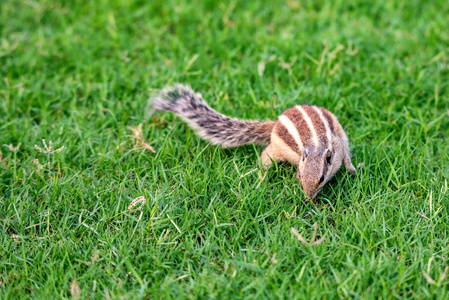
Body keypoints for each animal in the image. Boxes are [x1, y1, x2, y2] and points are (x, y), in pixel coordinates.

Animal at [149, 83, 356, 198]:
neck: (316, 146)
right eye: (299, 175)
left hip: (339, 128)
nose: (308, 197)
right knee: (265, 157)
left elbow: (345, 155)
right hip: (276, 148)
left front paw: (351, 169)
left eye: (321, 179)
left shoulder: (338, 146)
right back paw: (259, 175)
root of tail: (275, 123)